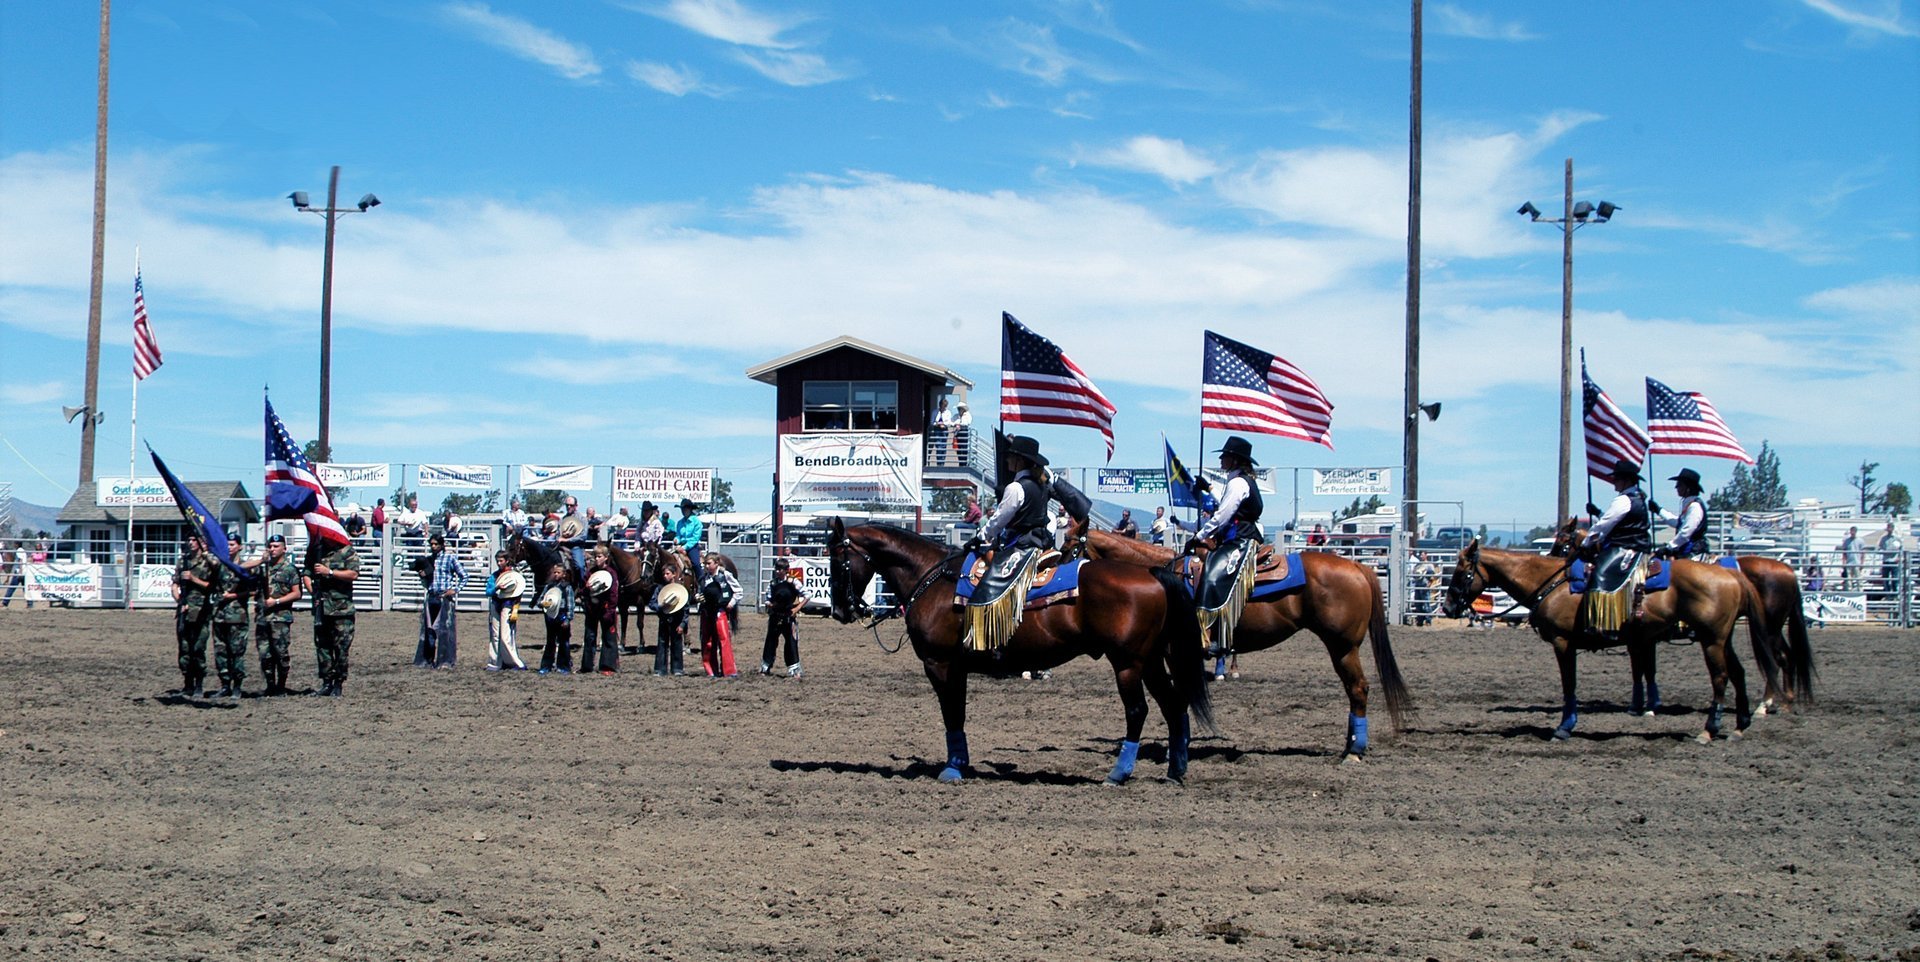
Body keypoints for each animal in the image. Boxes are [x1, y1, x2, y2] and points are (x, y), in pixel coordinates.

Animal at [829, 518, 1213, 779]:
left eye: (836, 558)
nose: (840, 610)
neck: (931, 579)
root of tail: (1151, 573)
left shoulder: (939, 664)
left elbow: (951, 714)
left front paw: (952, 769)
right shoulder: (957, 667)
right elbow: (959, 714)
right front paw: (960, 764)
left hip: (1128, 664)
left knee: (1138, 711)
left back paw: (1118, 773)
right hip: (1150, 661)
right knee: (1173, 704)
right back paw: (1175, 769)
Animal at [1082, 526, 1413, 756]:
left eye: (1073, 545)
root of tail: (1358, 567)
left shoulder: (1177, 654)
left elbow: (1183, 697)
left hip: (1343, 646)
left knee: (1358, 688)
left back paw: (1354, 752)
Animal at [1443, 541, 1766, 741]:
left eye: (1461, 571)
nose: (1447, 608)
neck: (1551, 583)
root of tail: (1731, 573)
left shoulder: (1563, 642)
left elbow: (1569, 684)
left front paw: (1564, 728)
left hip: (1712, 639)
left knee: (1720, 677)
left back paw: (1709, 730)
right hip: (1724, 638)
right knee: (1738, 672)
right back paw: (1740, 726)